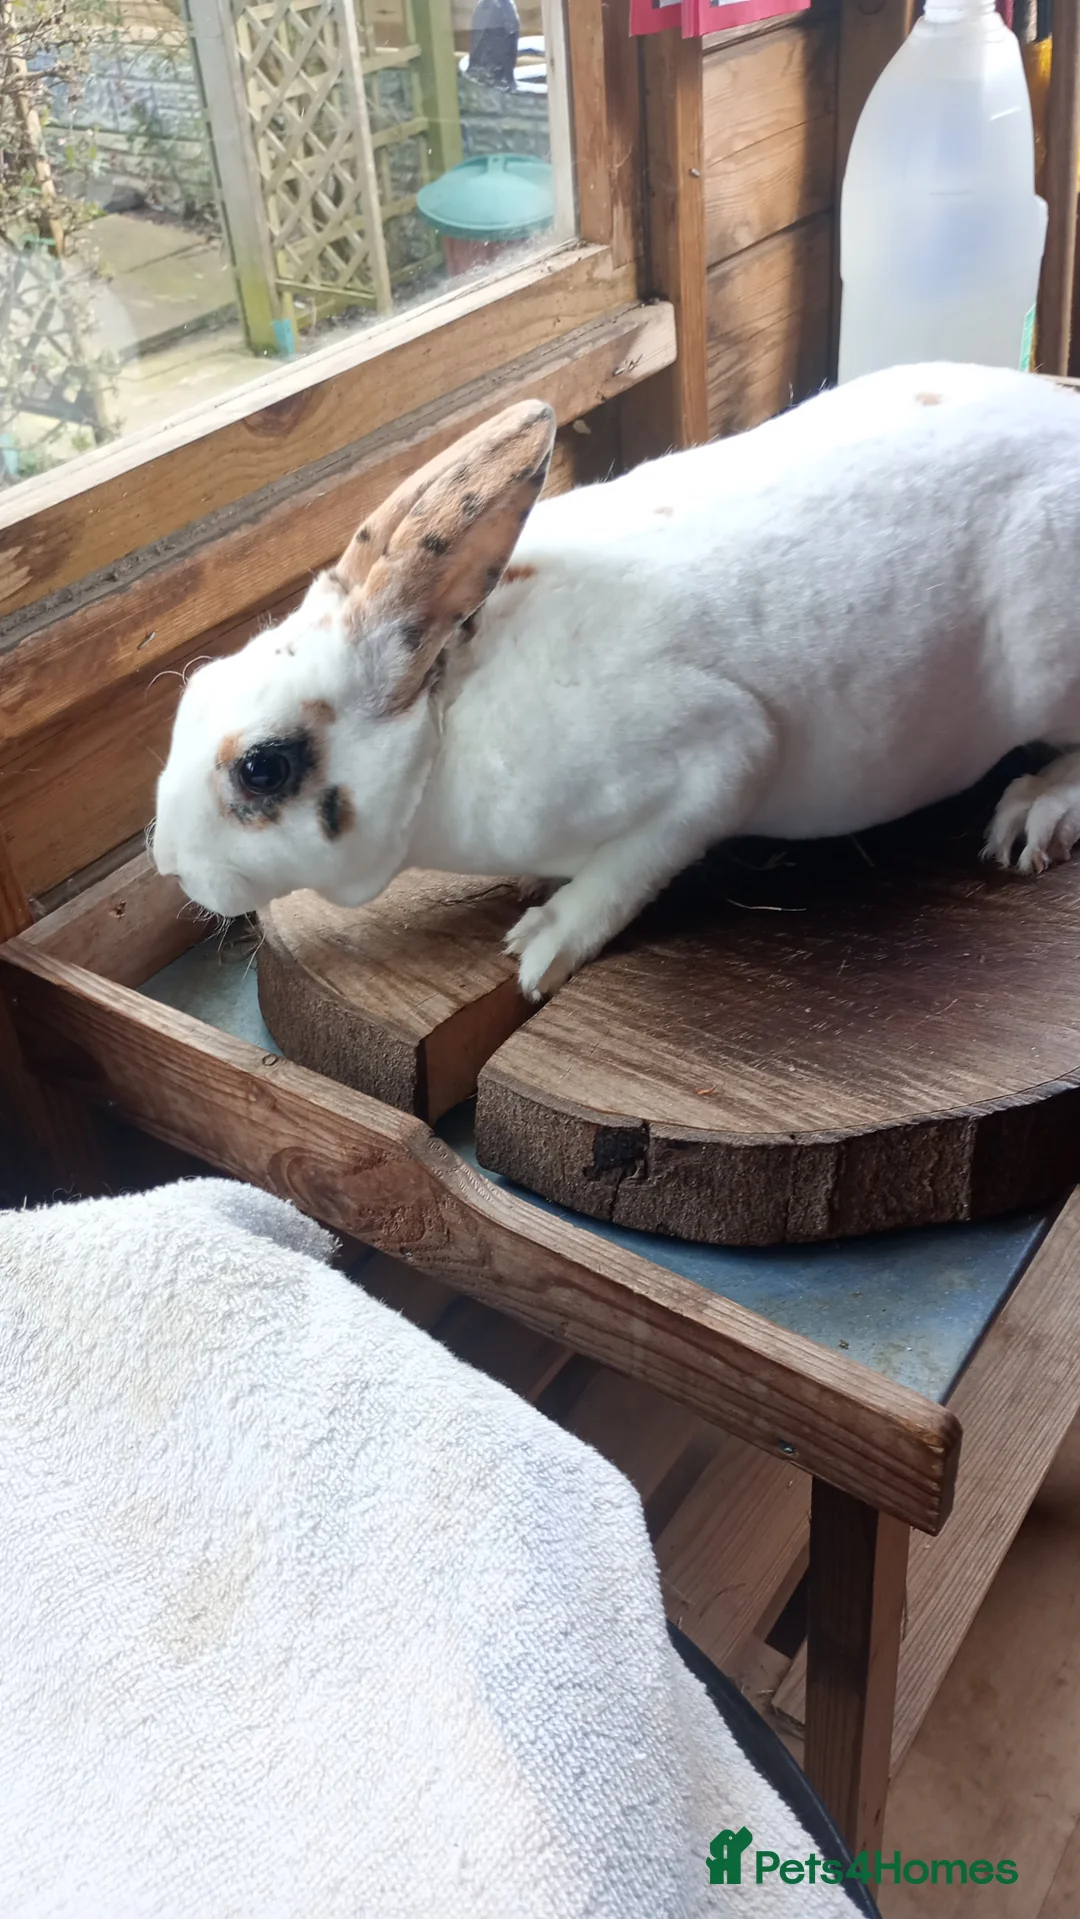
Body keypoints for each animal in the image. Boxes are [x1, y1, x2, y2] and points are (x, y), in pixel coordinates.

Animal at [153, 363, 1080, 1001]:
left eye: (262, 768)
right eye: (193, 694)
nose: (167, 861)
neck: (446, 724)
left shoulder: (719, 756)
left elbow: (633, 863)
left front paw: (544, 940)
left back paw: (1035, 810)